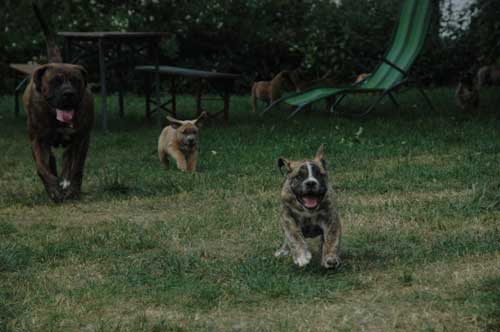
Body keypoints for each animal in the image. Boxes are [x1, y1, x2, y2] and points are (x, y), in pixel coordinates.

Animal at [24, 2, 94, 202]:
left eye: (76, 81)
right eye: (55, 81)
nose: (68, 93)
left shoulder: (81, 138)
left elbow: (76, 167)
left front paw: (72, 190)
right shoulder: (38, 140)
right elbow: (43, 169)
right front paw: (54, 190)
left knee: (67, 161)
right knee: (53, 162)